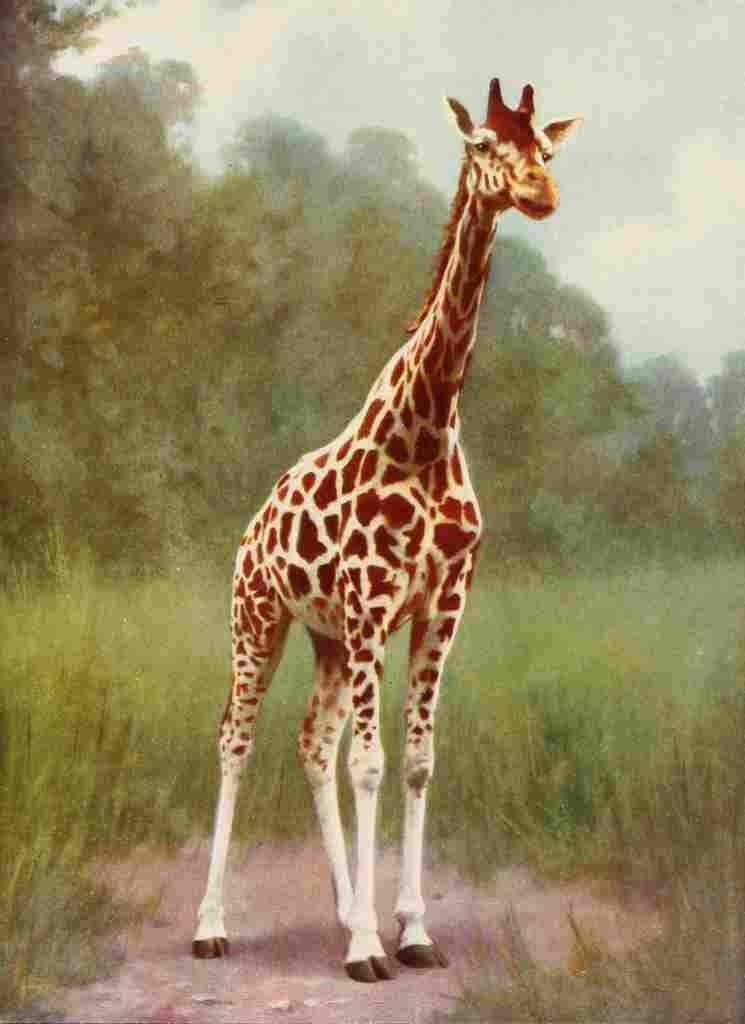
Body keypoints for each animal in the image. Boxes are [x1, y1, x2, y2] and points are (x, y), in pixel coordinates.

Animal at [193, 78, 582, 983]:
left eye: (546, 148)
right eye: (482, 144)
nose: (539, 193)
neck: (427, 429)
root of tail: (251, 526)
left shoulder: (440, 605)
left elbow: (415, 760)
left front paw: (406, 929)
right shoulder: (373, 602)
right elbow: (369, 765)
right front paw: (372, 945)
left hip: (329, 639)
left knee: (310, 741)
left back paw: (343, 909)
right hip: (258, 619)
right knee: (236, 738)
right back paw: (212, 925)